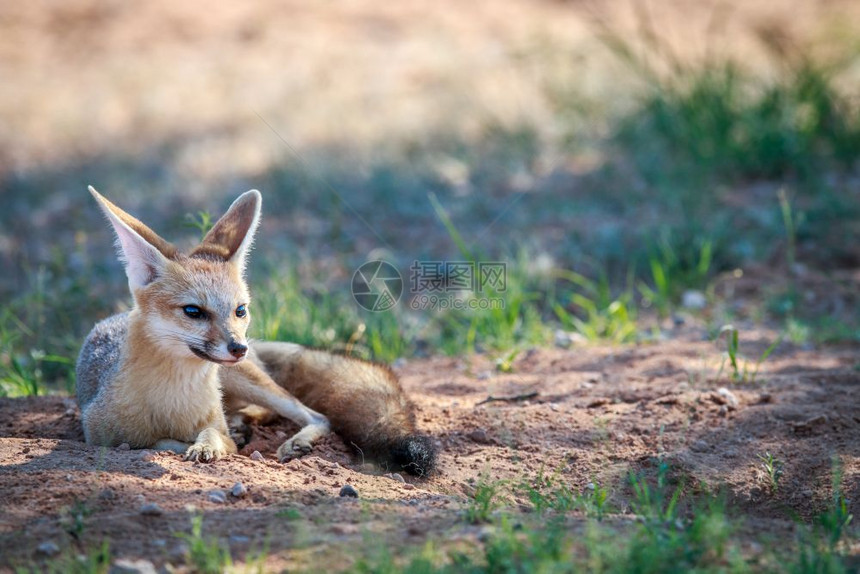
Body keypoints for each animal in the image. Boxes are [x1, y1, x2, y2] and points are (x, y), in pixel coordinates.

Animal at [75, 188, 436, 476]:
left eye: (240, 310)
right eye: (193, 311)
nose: (239, 347)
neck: (173, 399)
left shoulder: (212, 418)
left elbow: (212, 435)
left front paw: (209, 445)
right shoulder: (100, 435)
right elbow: (158, 441)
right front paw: (200, 442)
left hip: (250, 381)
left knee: (316, 416)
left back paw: (288, 439)